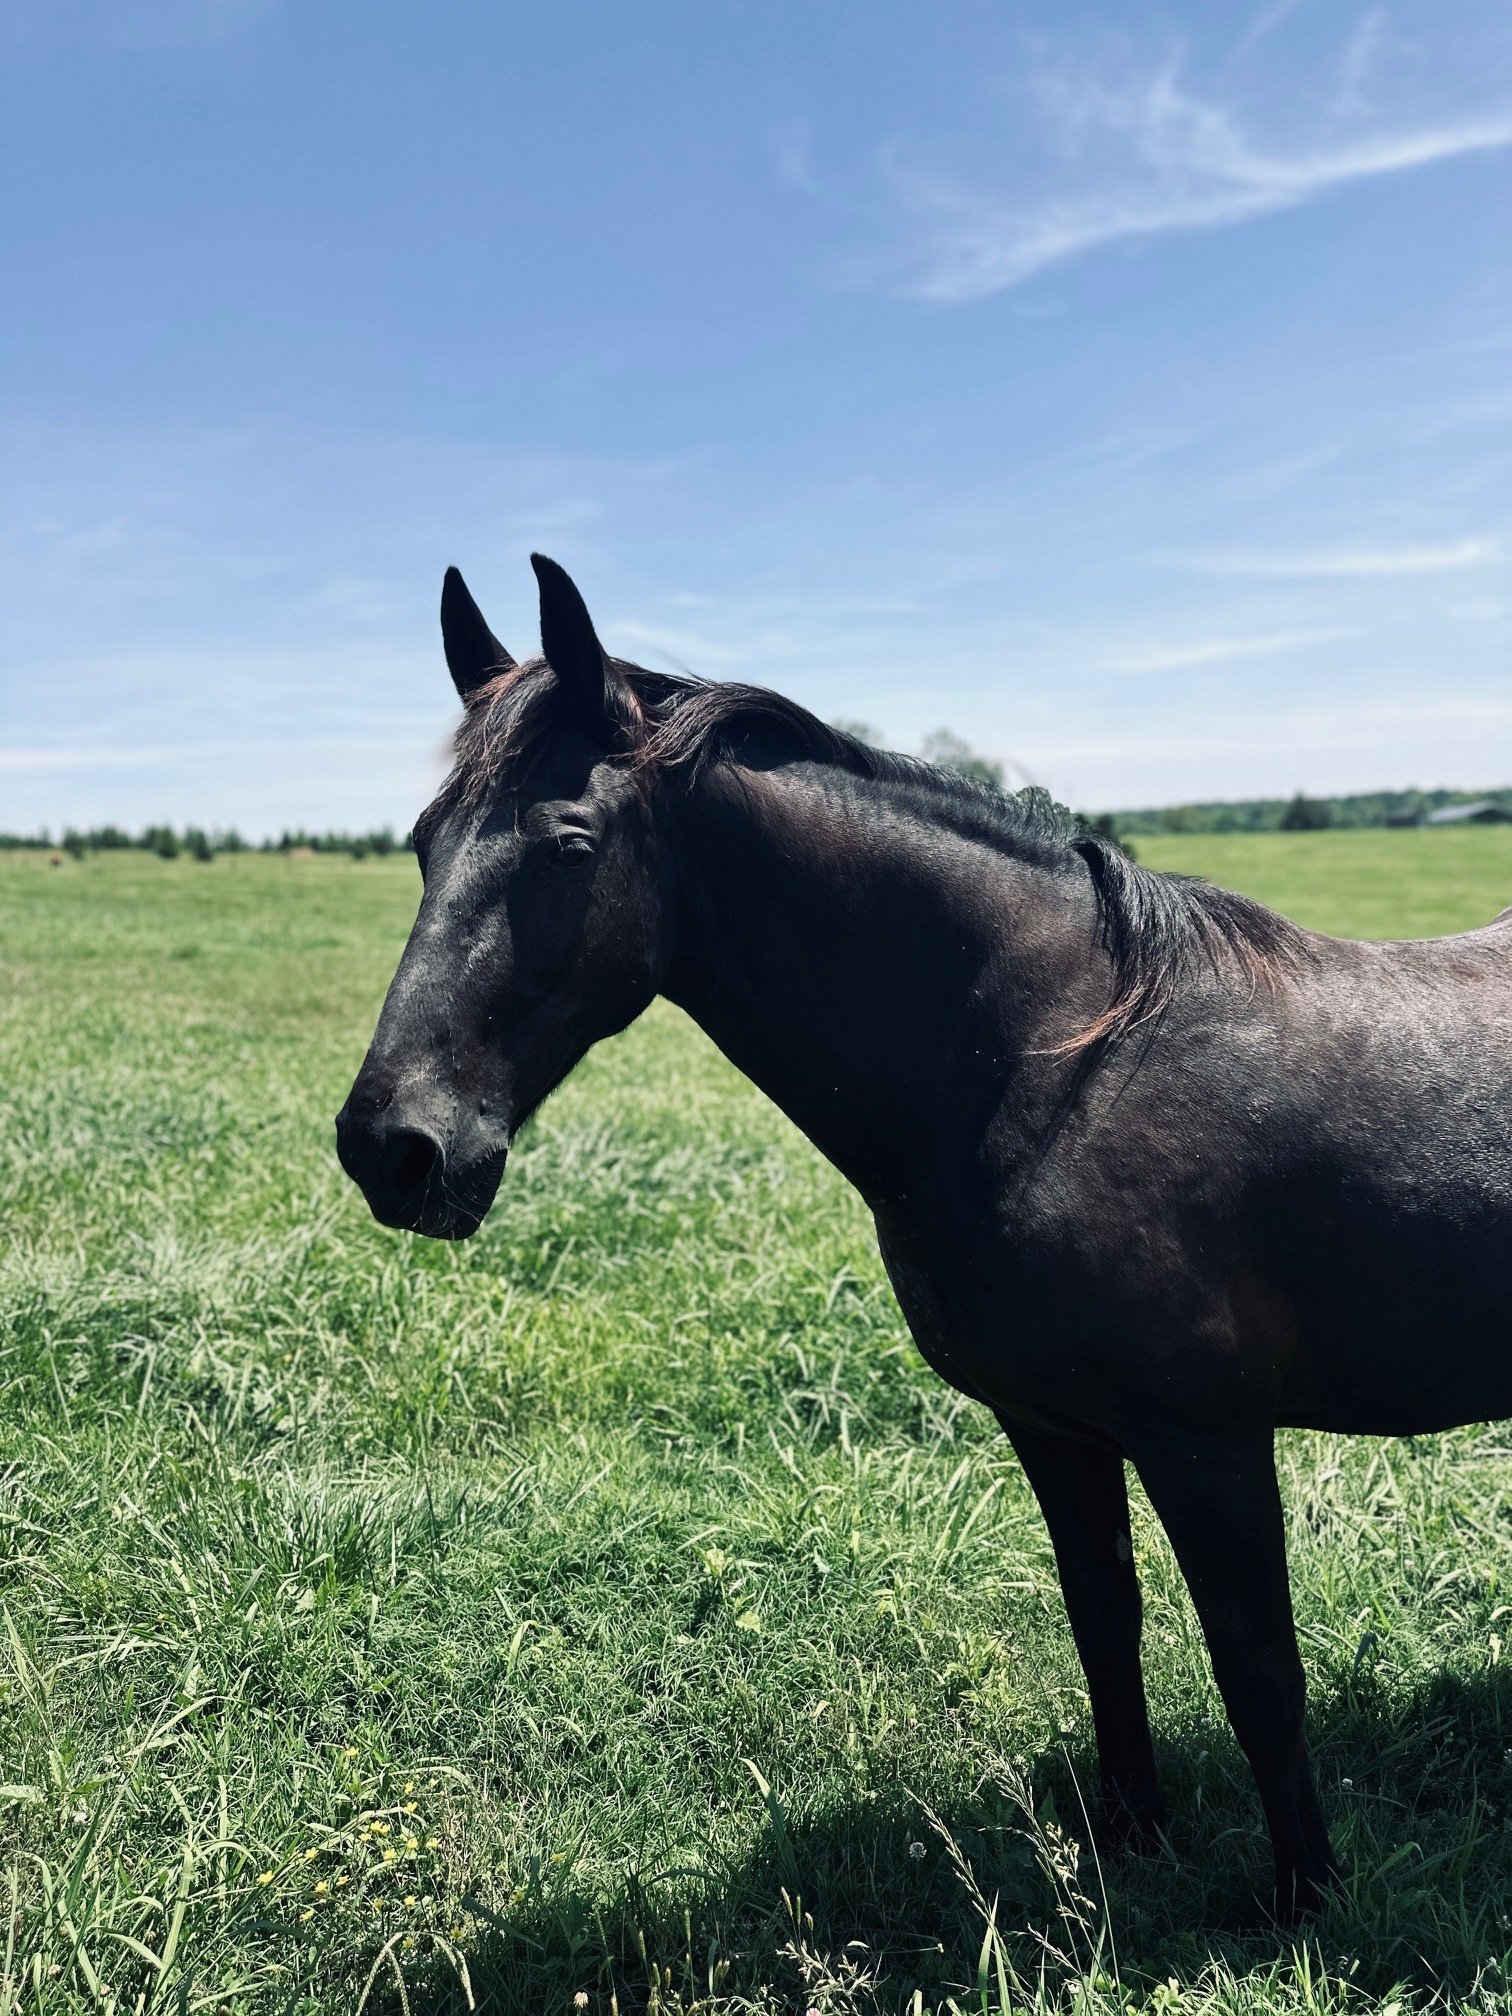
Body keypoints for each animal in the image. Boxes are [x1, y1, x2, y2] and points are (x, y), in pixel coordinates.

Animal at [336, 553, 1512, 1921]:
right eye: (424, 844)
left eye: (567, 844)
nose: (394, 1149)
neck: (1051, 1067)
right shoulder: (1058, 1429)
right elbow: (1105, 1626)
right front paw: (1128, 1846)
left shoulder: (1208, 1441)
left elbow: (1259, 1668)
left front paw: (1308, 1902)